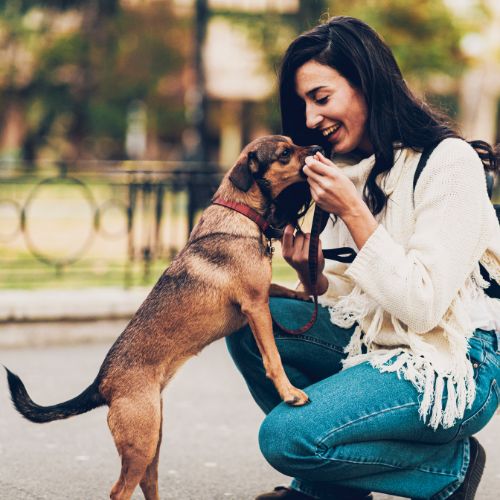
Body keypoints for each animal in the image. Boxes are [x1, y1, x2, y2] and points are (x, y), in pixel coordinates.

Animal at [4, 136, 320, 500]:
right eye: (285, 153)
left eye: (294, 144)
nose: (316, 149)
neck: (238, 213)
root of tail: (101, 384)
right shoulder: (255, 306)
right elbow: (273, 358)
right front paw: (290, 392)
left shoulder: (263, 294)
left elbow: (283, 288)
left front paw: (308, 292)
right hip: (141, 441)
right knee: (120, 490)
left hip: (152, 437)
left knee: (147, 482)